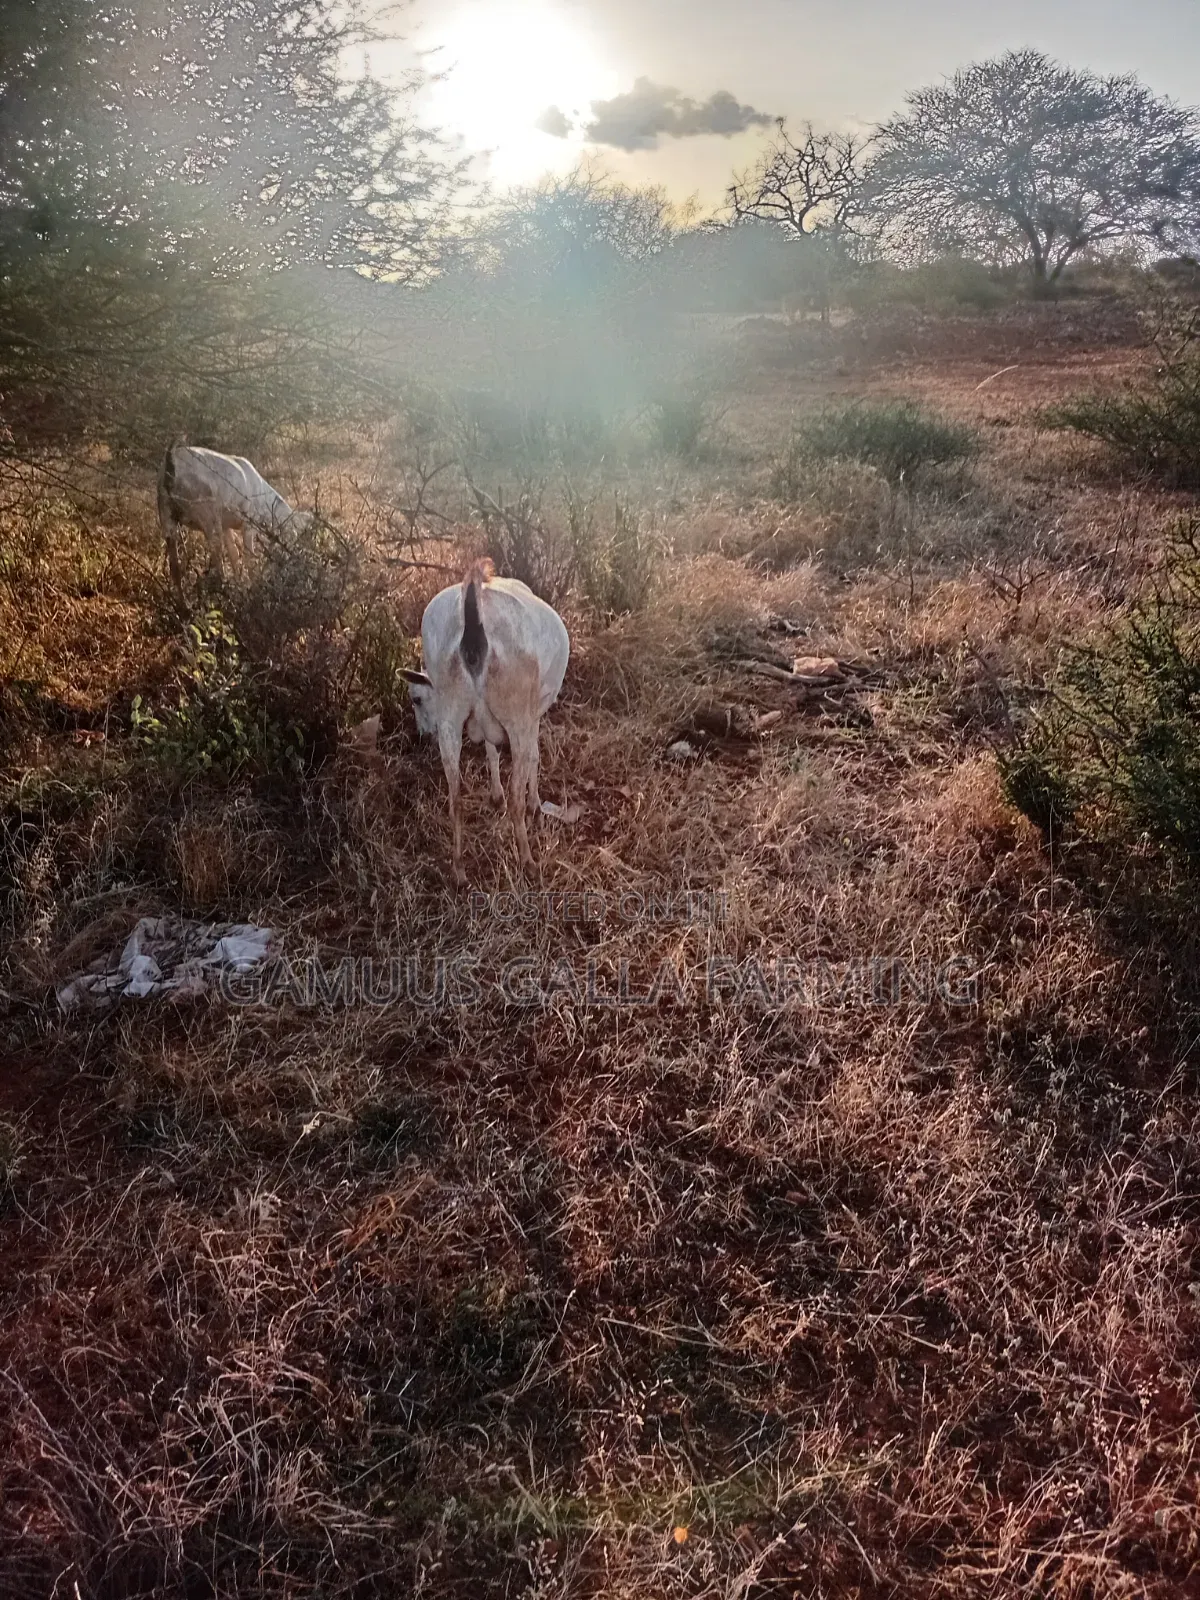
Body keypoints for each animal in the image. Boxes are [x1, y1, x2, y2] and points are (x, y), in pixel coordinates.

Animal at [158, 444, 316, 587]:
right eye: (294, 533)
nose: (294, 556)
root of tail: (170, 466)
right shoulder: (248, 524)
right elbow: (248, 555)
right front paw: (252, 582)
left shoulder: (226, 525)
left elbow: (234, 553)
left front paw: (241, 582)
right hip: (208, 516)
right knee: (217, 558)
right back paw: (224, 586)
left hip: (166, 516)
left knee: (175, 568)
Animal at [402, 561, 570, 884]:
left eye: (416, 699)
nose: (421, 735)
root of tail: (474, 607)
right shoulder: (532, 715)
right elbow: (534, 757)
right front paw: (535, 804)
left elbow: (491, 752)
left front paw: (495, 796)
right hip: (516, 716)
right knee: (517, 797)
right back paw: (528, 861)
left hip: (451, 720)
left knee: (455, 799)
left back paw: (458, 870)